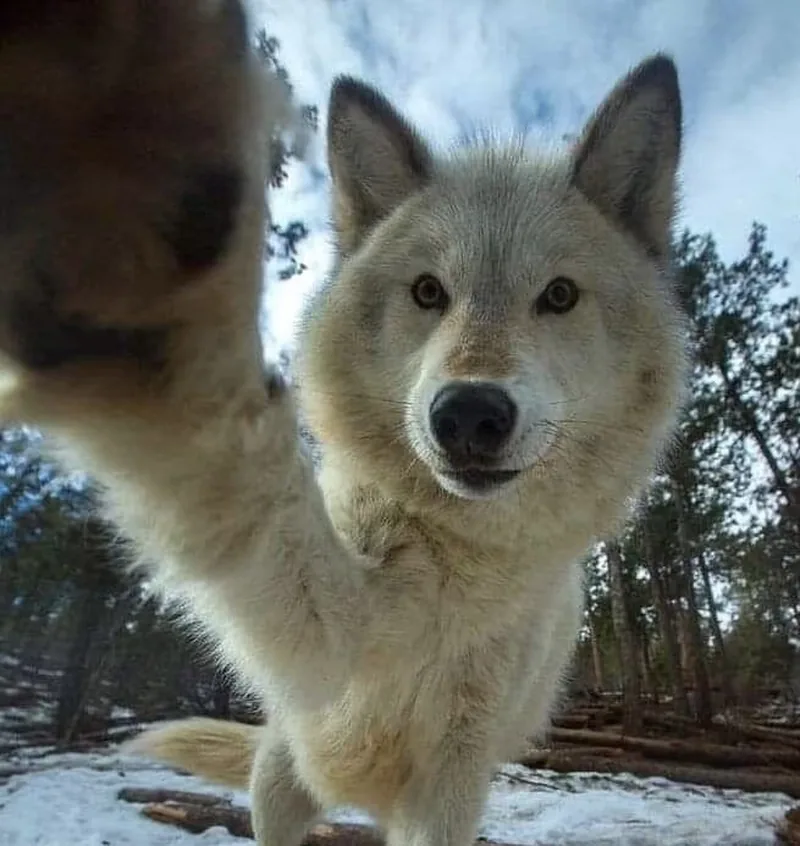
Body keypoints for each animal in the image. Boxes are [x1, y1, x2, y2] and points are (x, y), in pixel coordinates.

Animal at [0, 3, 688, 845]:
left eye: (558, 296)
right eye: (428, 291)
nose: (469, 414)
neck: (456, 560)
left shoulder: (450, 781)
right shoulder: (333, 640)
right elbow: (251, 473)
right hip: (281, 773)